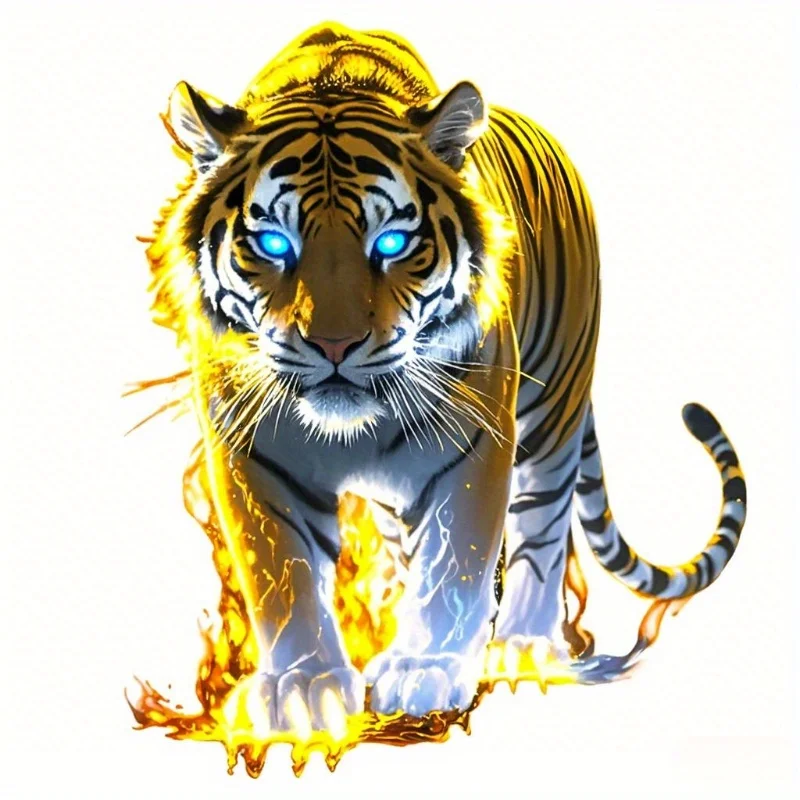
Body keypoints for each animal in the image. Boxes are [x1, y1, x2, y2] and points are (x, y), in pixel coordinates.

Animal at [145, 21, 747, 733]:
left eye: (390, 244)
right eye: (273, 246)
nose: (334, 344)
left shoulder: (475, 437)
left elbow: (458, 555)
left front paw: (424, 670)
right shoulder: (253, 452)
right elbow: (284, 577)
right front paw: (306, 686)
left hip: (553, 411)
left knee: (543, 529)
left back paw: (523, 648)